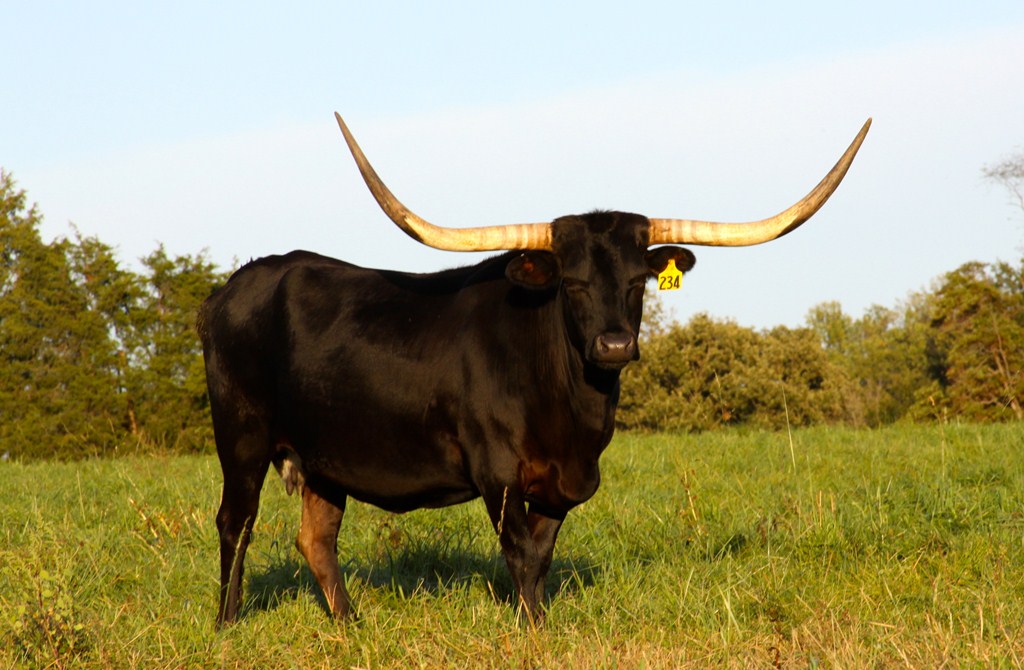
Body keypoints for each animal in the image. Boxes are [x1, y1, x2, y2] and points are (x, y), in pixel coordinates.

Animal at [199, 113, 870, 627]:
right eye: (571, 283)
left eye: (638, 282)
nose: (614, 345)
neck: (569, 411)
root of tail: (239, 281)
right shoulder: (497, 473)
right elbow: (520, 555)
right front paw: (535, 633)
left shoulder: (561, 485)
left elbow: (542, 558)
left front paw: (537, 621)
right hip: (242, 436)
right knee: (236, 523)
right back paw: (229, 625)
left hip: (324, 456)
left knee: (316, 539)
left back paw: (351, 627)